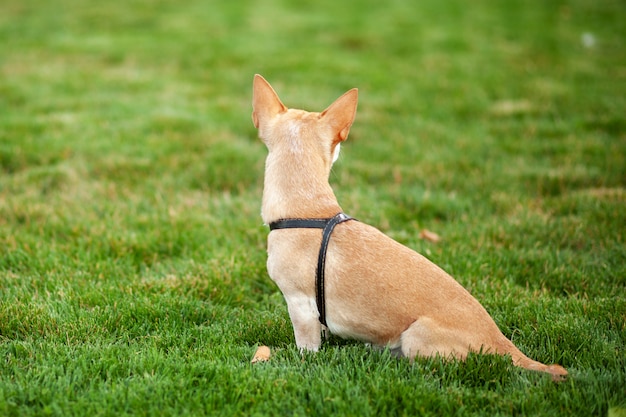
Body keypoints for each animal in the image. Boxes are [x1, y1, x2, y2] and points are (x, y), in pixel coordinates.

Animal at [249, 73, 564, 378]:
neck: (310, 208)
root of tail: (504, 345)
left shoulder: (300, 305)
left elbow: (306, 347)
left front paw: (300, 360)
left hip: (416, 337)